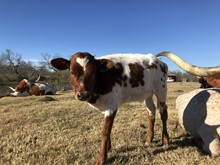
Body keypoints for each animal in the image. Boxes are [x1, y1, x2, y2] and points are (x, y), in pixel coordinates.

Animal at [50, 51, 220, 164]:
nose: (82, 94)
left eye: (92, 72)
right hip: (147, 94)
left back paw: (165, 140)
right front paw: (109, 148)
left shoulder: (112, 105)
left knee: (163, 113)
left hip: (161, 90)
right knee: (151, 113)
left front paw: (102, 158)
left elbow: (105, 131)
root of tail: (158, 60)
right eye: (72, 72)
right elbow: (107, 129)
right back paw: (149, 139)